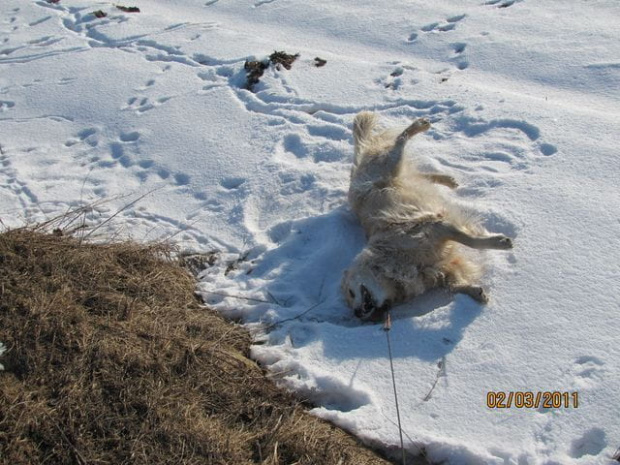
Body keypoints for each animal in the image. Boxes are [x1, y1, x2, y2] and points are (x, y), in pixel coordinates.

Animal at [342, 112, 512, 320]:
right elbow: (454, 285)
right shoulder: (441, 267)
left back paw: (420, 125)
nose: (357, 313)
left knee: (401, 140)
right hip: (397, 171)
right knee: (421, 174)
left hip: (389, 164)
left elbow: (471, 241)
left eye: (351, 293)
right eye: (350, 304)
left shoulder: (437, 227)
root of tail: (354, 173)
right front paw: (475, 291)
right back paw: (448, 180)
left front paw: (499, 242)